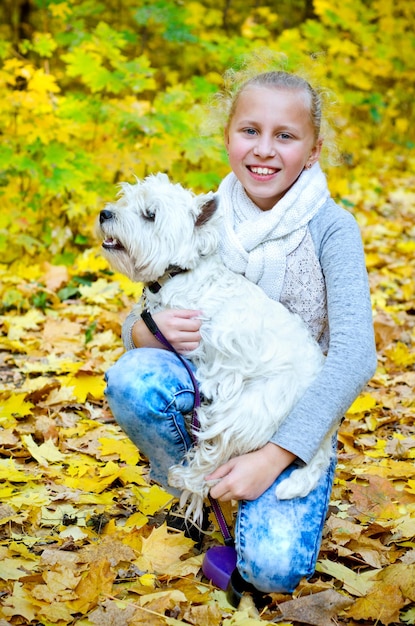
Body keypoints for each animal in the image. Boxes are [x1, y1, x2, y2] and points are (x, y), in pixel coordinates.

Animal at [97, 171, 334, 516]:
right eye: (126, 200)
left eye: (150, 215)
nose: (105, 214)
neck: (179, 273)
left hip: (248, 409)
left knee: (216, 454)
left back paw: (186, 477)